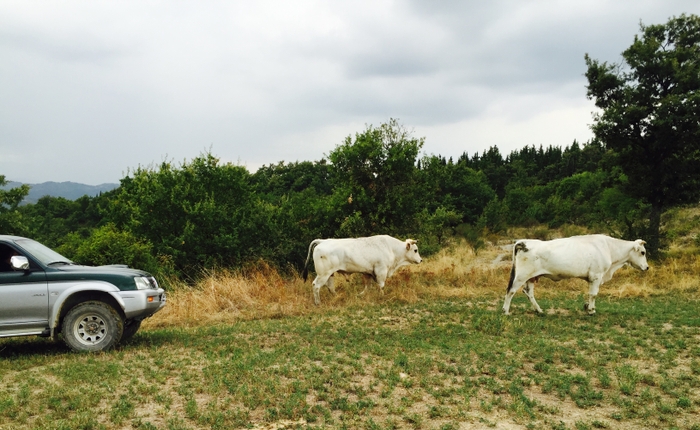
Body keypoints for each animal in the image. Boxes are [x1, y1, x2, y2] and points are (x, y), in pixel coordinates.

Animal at [500, 235, 648, 316]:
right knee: (511, 291)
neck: (609, 248)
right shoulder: (596, 276)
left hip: (531, 277)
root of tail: (523, 242)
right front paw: (591, 310)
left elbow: (590, 294)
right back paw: (506, 311)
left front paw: (587, 307)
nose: (647, 267)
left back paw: (539, 310)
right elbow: (593, 294)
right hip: (521, 276)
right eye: (643, 252)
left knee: (528, 292)